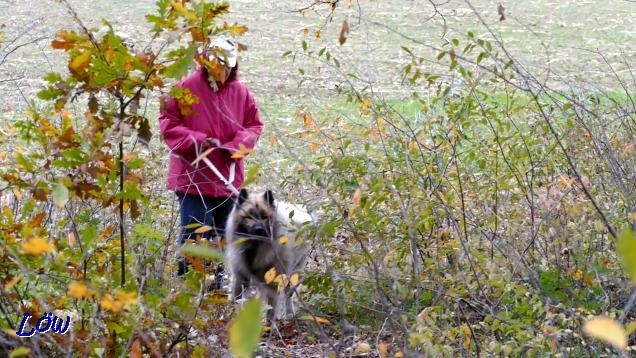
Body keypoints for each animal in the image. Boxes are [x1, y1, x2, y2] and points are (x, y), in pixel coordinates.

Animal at [226, 189, 316, 320]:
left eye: (264, 217)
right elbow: (236, 301)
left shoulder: (274, 283)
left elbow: (271, 310)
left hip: (293, 273)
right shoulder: (240, 279)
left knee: (288, 295)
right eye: (248, 217)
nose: (259, 229)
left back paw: (289, 313)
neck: (255, 249)